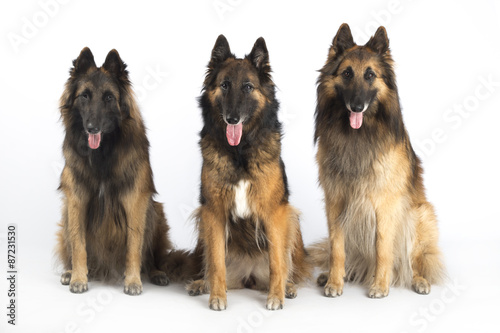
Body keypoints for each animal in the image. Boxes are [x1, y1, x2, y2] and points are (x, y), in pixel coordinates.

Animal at [56, 46, 172, 294]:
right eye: (84, 96)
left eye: (109, 97)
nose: (92, 128)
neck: (102, 154)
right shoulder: (76, 200)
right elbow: (78, 245)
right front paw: (78, 277)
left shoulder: (135, 200)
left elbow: (134, 245)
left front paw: (133, 281)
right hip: (66, 213)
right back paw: (69, 271)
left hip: (156, 214)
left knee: (152, 256)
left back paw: (156, 273)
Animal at [186, 35, 310, 310]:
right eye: (224, 85)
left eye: (247, 87)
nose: (232, 119)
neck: (240, 151)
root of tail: (249, 276)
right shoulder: (213, 212)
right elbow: (216, 262)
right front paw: (217, 296)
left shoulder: (274, 213)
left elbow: (277, 261)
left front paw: (276, 296)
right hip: (203, 225)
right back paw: (201, 283)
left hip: (291, 220)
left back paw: (288, 286)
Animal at [310, 24, 448, 296]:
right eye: (347, 73)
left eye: (370, 75)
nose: (357, 106)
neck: (358, 135)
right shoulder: (336, 202)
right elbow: (336, 249)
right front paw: (334, 282)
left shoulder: (385, 204)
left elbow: (383, 248)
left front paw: (380, 285)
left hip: (420, 216)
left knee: (414, 262)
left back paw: (418, 280)